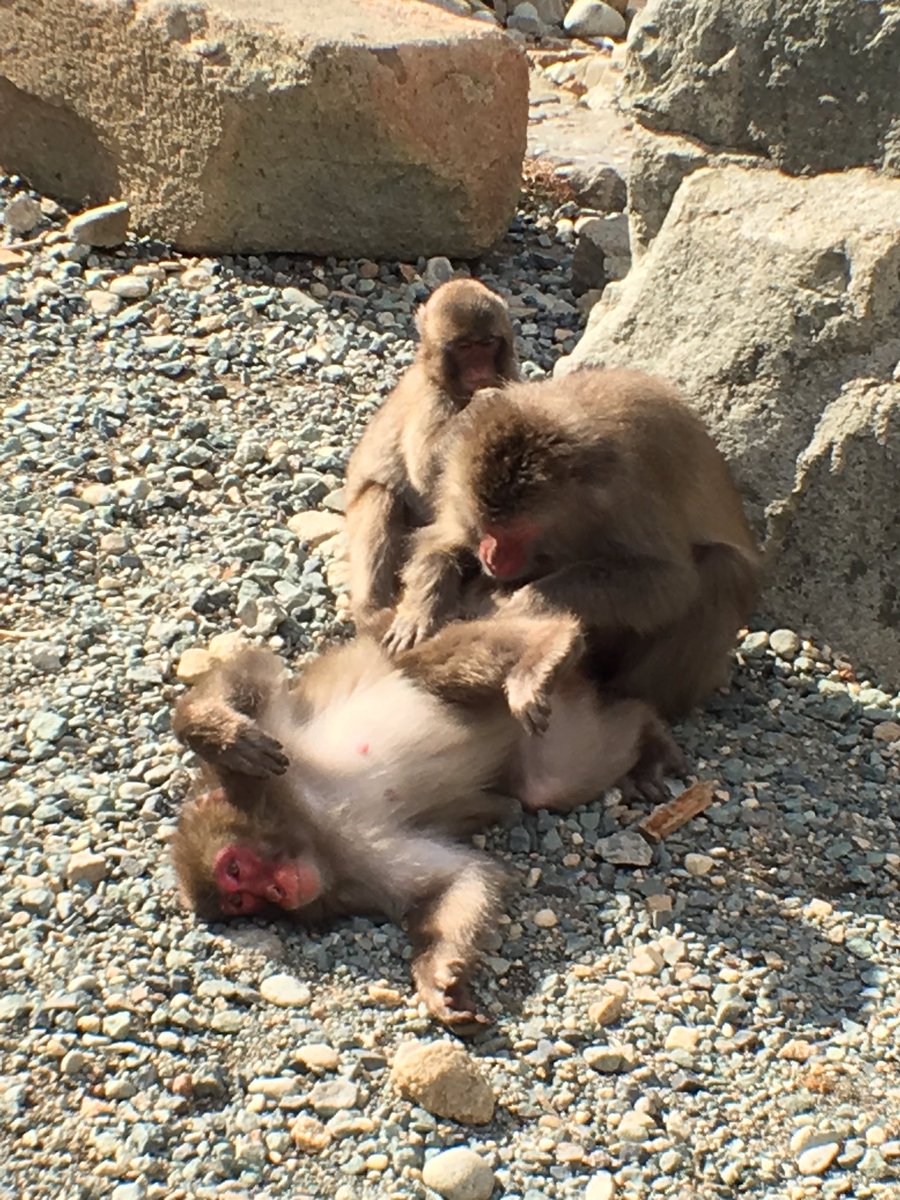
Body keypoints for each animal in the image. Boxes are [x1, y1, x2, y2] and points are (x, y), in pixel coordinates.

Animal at [170, 614, 683, 1031]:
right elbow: (460, 877)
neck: (309, 823)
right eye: (242, 903)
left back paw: (552, 647)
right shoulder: (359, 865)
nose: (276, 891)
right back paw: (645, 733)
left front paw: (219, 731)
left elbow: (250, 675)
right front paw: (438, 977)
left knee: (423, 668)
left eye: (235, 869)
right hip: (552, 740)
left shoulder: (276, 747)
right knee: (551, 783)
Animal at [344, 278, 518, 635]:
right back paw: (372, 609)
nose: (480, 370)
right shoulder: (430, 399)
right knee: (379, 496)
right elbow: (425, 472)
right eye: (465, 347)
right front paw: (485, 401)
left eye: (487, 343)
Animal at [382, 368, 762, 722]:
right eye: (486, 528)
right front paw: (420, 611)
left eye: (517, 533)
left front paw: (522, 607)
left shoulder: (630, 494)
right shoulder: (458, 485)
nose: (491, 558)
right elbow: (440, 542)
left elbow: (669, 581)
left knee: (720, 568)